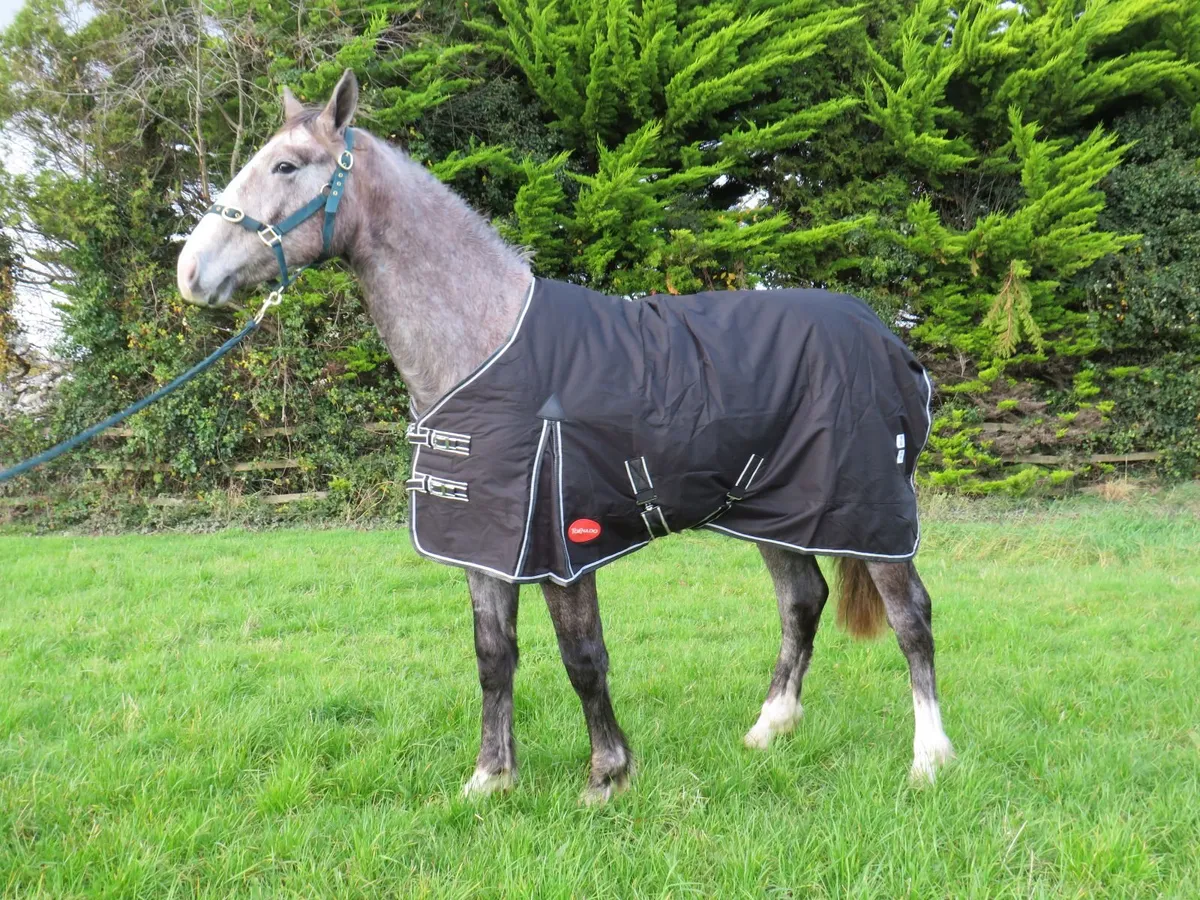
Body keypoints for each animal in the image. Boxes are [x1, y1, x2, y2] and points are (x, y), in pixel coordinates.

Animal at [176, 70, 954, 803]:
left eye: (285, 166)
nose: (190, 272)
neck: (488, 343)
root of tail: (887, 336)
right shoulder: (485, 542)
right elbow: (494, 656)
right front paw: (491, 777)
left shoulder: (562, 542)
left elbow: (582, 656)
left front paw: (607, 775)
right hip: (775, 512)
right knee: (802, 601)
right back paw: (770, 728)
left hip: (871, 517)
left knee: (911, 615)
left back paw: (929, 758)